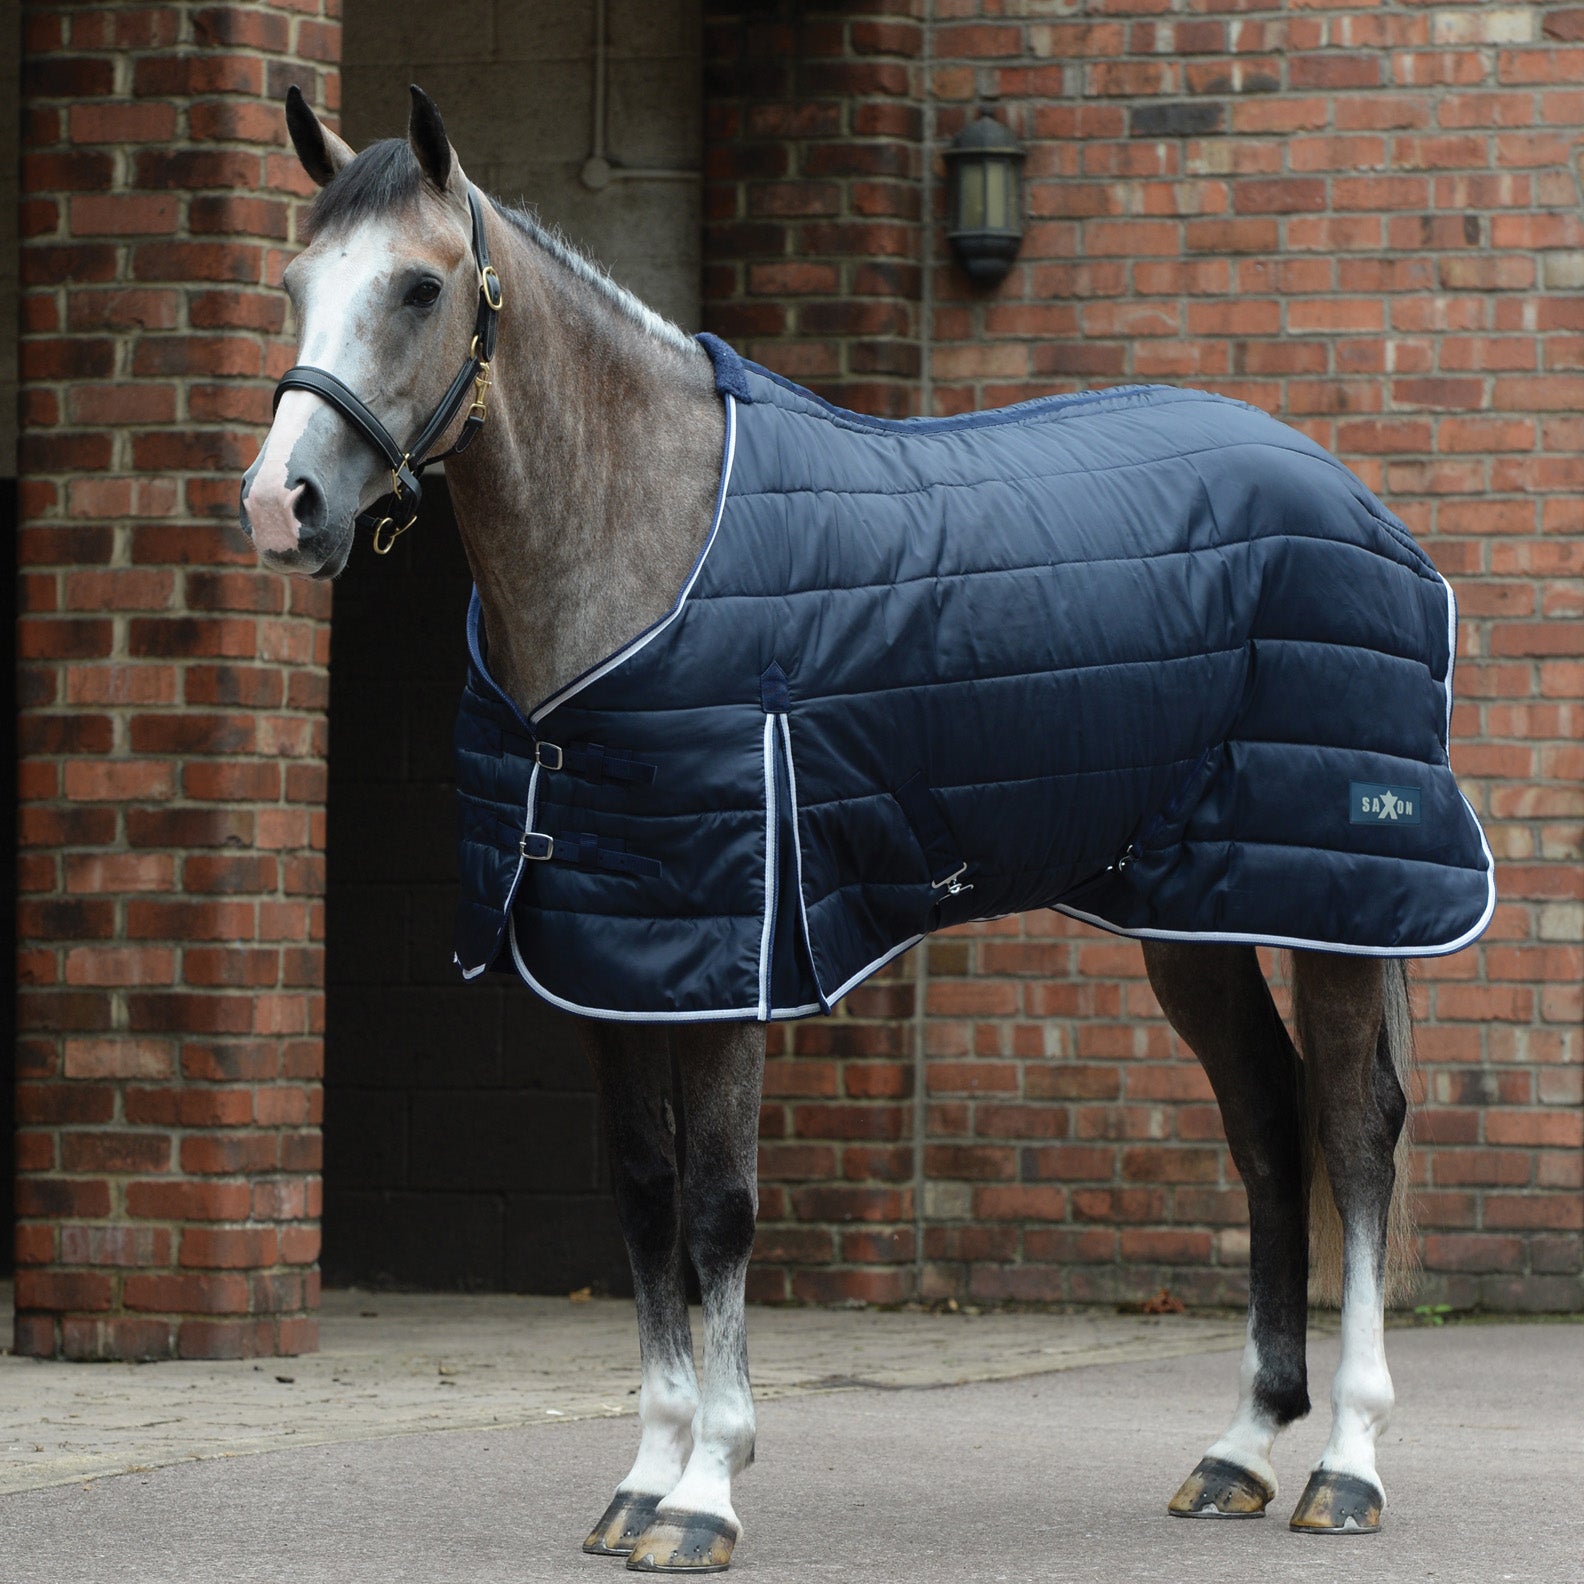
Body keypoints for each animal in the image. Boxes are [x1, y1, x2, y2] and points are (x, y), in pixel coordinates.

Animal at [240, 86, 1491, 1571]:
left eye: (421, 286)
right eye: (295, 283)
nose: (280, 506)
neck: (648, 548)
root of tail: (1360, 504)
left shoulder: (732, 956)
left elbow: (720, 1208)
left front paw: (707, 1492)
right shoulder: (612, 957)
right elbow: (644, 1198)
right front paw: (643, 1477)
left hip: (1340, 897)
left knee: (1355, 1136)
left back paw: (1346, 1465)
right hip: (1197, 911)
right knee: (1266, 1124)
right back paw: (1239, 1449)